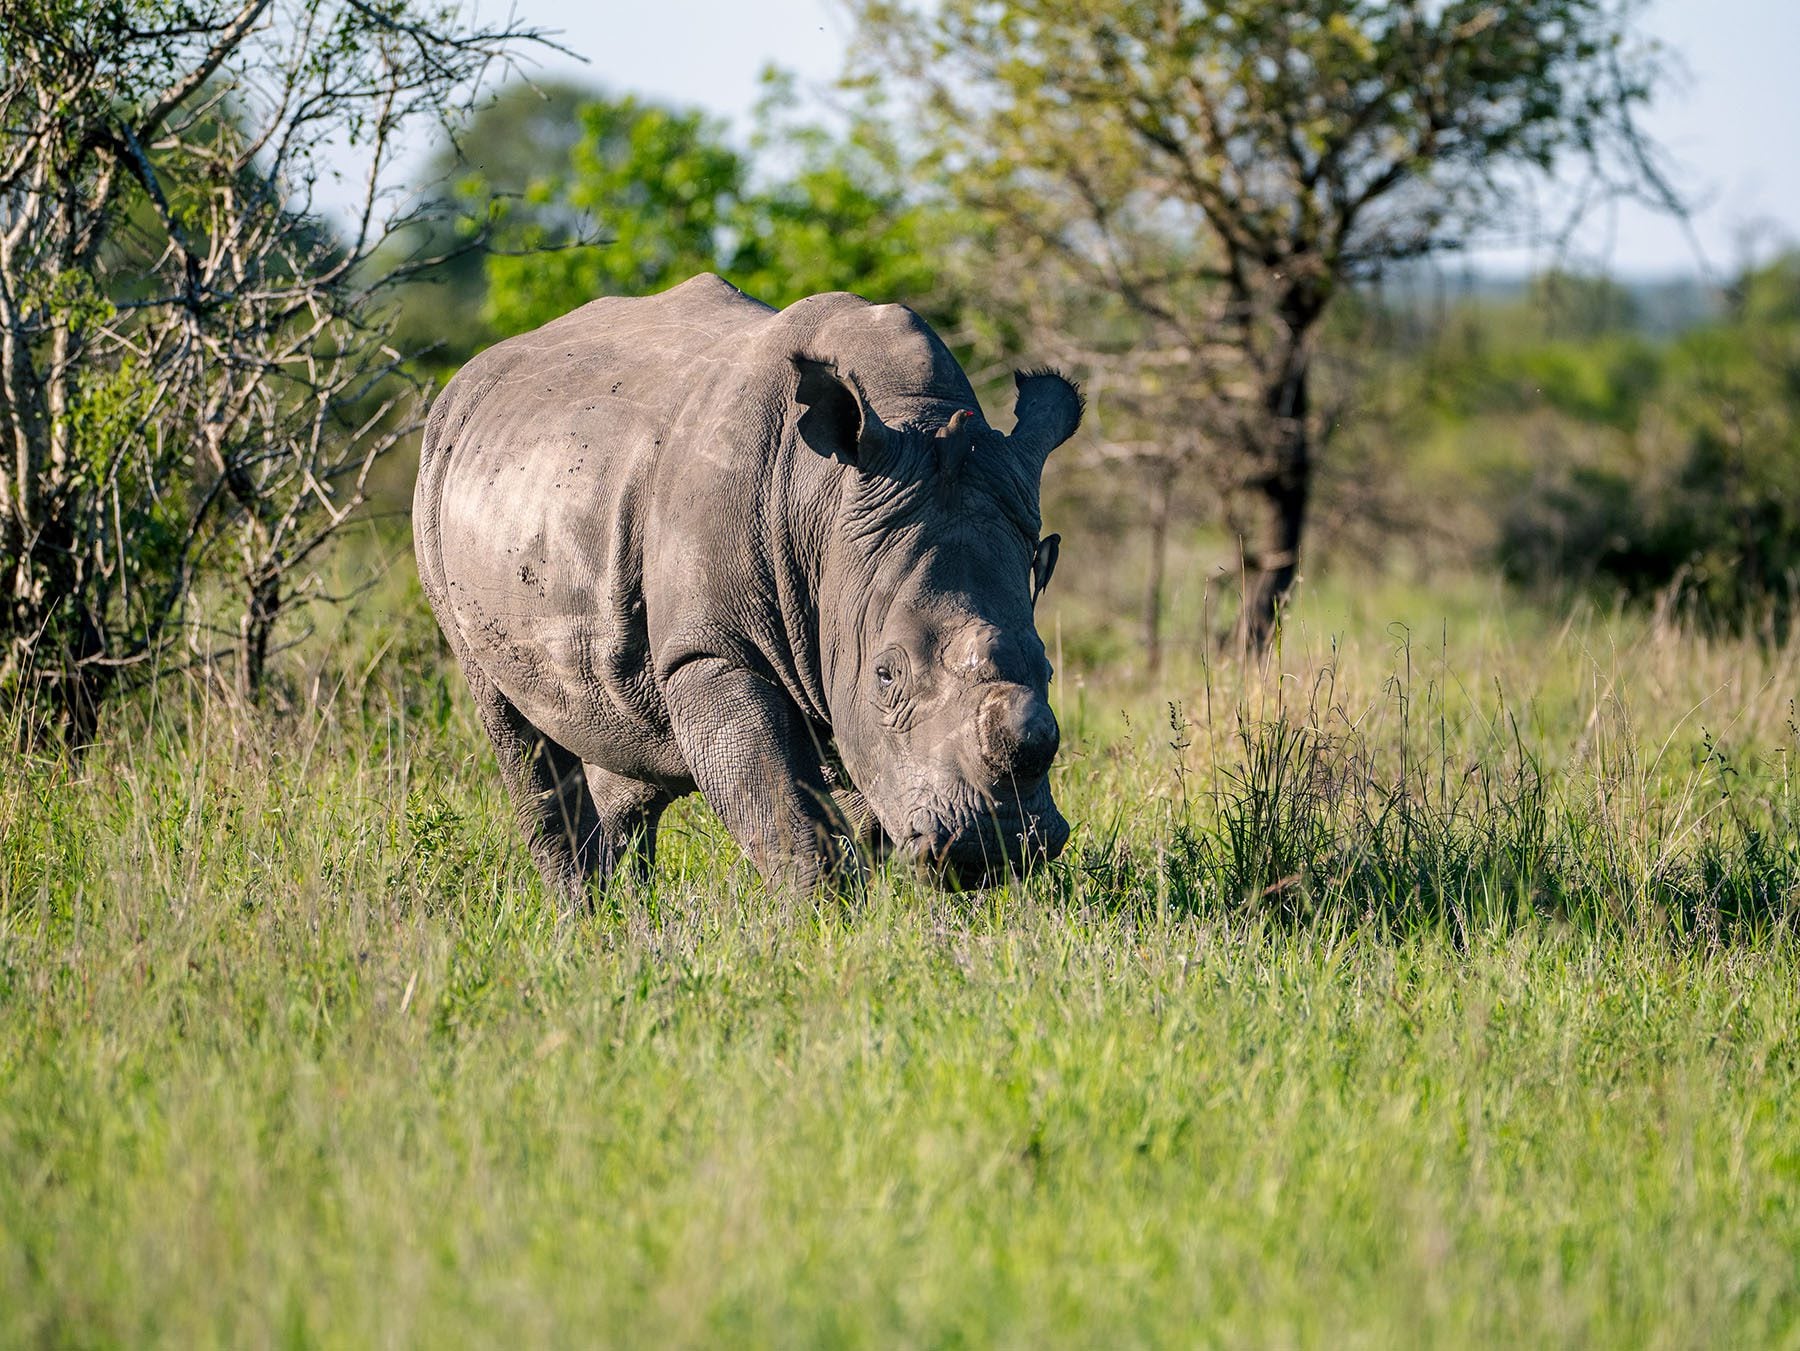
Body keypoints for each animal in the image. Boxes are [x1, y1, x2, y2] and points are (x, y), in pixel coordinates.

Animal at [413, 274, 1080, 902]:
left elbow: (862, 806)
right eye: (887, 675)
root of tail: (466, 380)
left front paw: (886, 916)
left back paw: (626, 916)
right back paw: (579, 914)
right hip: (440, 476)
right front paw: (821, 922)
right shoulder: (711, 649)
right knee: (513, 731)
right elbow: (781, 810)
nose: (993, 846)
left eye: (1049, 669)